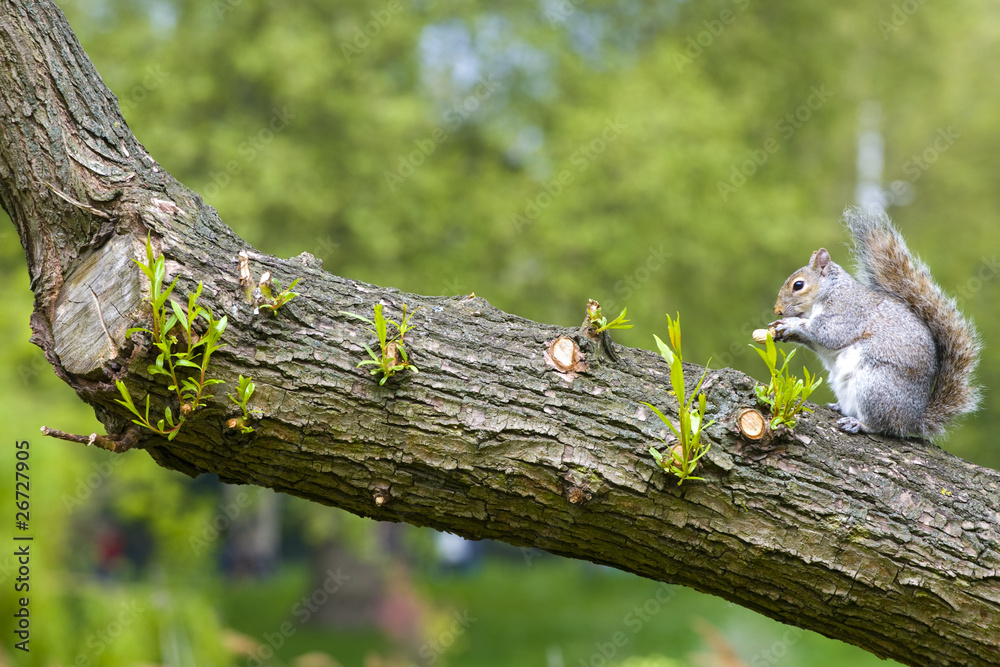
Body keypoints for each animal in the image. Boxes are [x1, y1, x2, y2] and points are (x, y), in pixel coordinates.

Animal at [769, 207, 981, 438]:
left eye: (798, 285)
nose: (777, 310)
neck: (828, 291)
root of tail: (911, 419)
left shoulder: (847, 311)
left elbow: (828, 333)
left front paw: (790, 323)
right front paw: (785, 332)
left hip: (874, 385)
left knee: (882, 425)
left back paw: (860, 424)